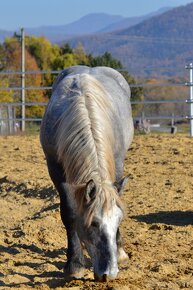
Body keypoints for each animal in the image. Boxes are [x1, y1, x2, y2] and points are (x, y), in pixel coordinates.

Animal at [40, 66, 134, 280]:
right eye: (94, 224)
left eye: (119, 220)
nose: (109, 274)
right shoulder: (57, 172)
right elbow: (69, 213)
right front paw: (75, 265)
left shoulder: (117, 165)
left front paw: (120, 251)